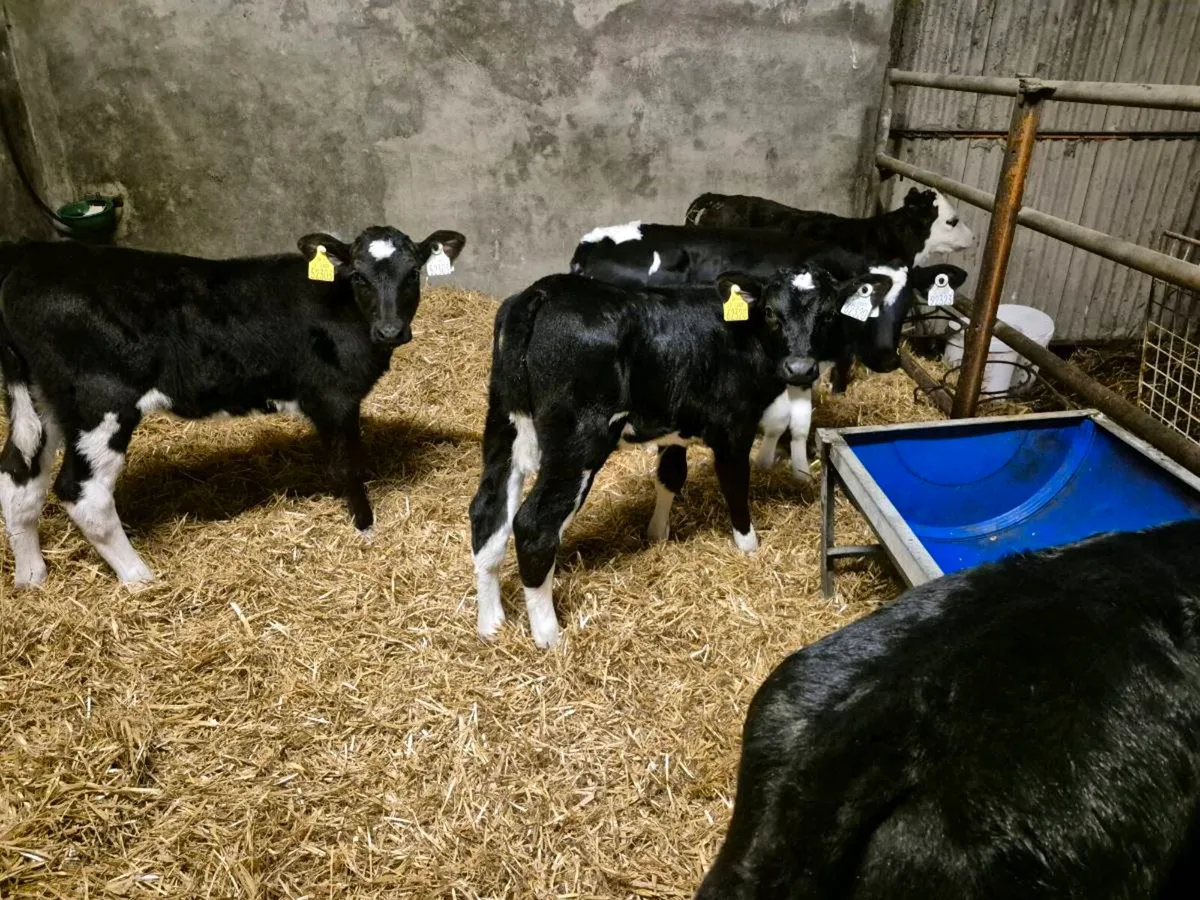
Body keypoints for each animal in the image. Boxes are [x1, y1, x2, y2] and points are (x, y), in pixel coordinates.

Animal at [0, 225, 465, 588]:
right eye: (359, 277)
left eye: (413, 274)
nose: (391, 331)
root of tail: (28, 259)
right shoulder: (335, 398)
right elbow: (348, 467)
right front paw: (366, 529)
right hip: (101, 402)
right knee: (82, 491)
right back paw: (140, 578)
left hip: (38, 400)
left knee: (19, 475)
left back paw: (31, 577)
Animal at [468, 265, 900, 649]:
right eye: (771, 313)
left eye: (828, 314)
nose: (800, 368)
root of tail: (545, 290)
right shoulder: (733, 427)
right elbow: (734, 483)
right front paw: (749, 546)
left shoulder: (676, 424)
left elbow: (671, 474)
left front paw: (657, 534)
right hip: (578, 441)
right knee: (534, 525)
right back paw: (549, 636)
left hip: (503, 421)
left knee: (488, 511)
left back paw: (491, 624)